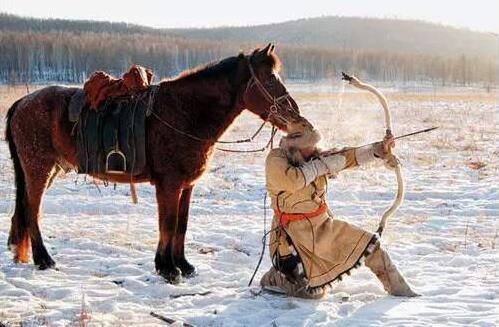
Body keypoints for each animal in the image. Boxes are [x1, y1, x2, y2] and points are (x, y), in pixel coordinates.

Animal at [5, 43, 306, 284]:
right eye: (269, 78)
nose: (296, 117)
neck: (184, 112)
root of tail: (22, 102)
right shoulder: (169, 185)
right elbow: (168, 224)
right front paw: (167, 268)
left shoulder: (186, 186)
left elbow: (181, 225)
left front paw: (183, 264)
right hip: (38, 169)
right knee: (32, 211)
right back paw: (44, 259)